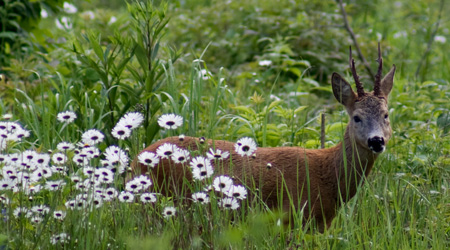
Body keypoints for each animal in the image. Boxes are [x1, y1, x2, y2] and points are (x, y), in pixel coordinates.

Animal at [130, 44, 394, 232]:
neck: (327, 174)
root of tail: (135, 159)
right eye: (357, 117)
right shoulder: (291, 216)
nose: (376, 141)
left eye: (386, 114)